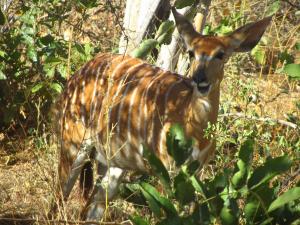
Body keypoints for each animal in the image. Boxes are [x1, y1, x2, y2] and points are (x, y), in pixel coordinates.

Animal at [54, 7, 272, 221]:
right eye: (191, 53)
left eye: (220, 54)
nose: (199, 79)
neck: (194, 129)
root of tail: (76, 76)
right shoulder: (165, 169)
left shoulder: (195, 171)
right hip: (73, 142)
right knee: (60, 197)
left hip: (115, 165)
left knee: (90, 209)